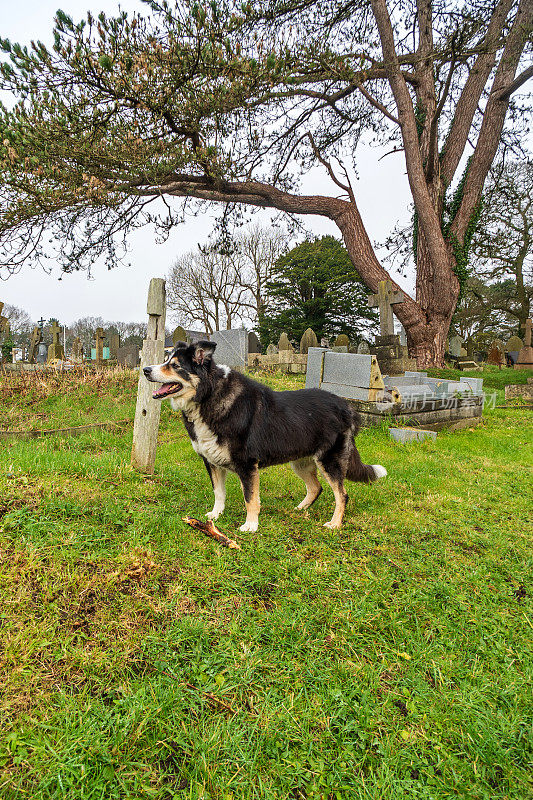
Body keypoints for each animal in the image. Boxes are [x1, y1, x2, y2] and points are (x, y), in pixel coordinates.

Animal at [143, 340, 384, 532]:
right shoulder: (211, 461)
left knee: (341, 494)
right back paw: (299, 509)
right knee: (316, 488)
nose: (145, 369)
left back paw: (334, 523)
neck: (209, 395)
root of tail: (347, 407)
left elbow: (250, 498)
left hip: (328, 460)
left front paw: (250, 526)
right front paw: (215, 515)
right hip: (301, 462)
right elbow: (219, 493)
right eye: (166, 360)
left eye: (175, 366)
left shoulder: (247, 464)